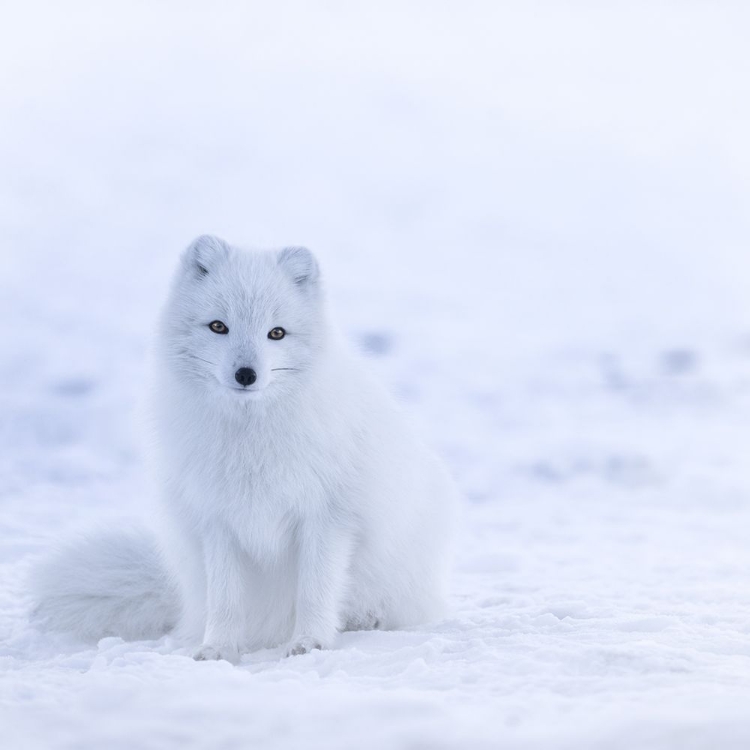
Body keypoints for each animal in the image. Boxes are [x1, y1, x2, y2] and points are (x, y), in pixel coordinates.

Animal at [32, 236, 458, 664]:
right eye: (219, 326)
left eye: (277, 333)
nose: (246, 374)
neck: (250, 438)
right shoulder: (217, 520)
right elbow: (225, 599)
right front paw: (218, 649)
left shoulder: (327, 517)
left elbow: (315, 591)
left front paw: (310, 643)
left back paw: (365, 619)